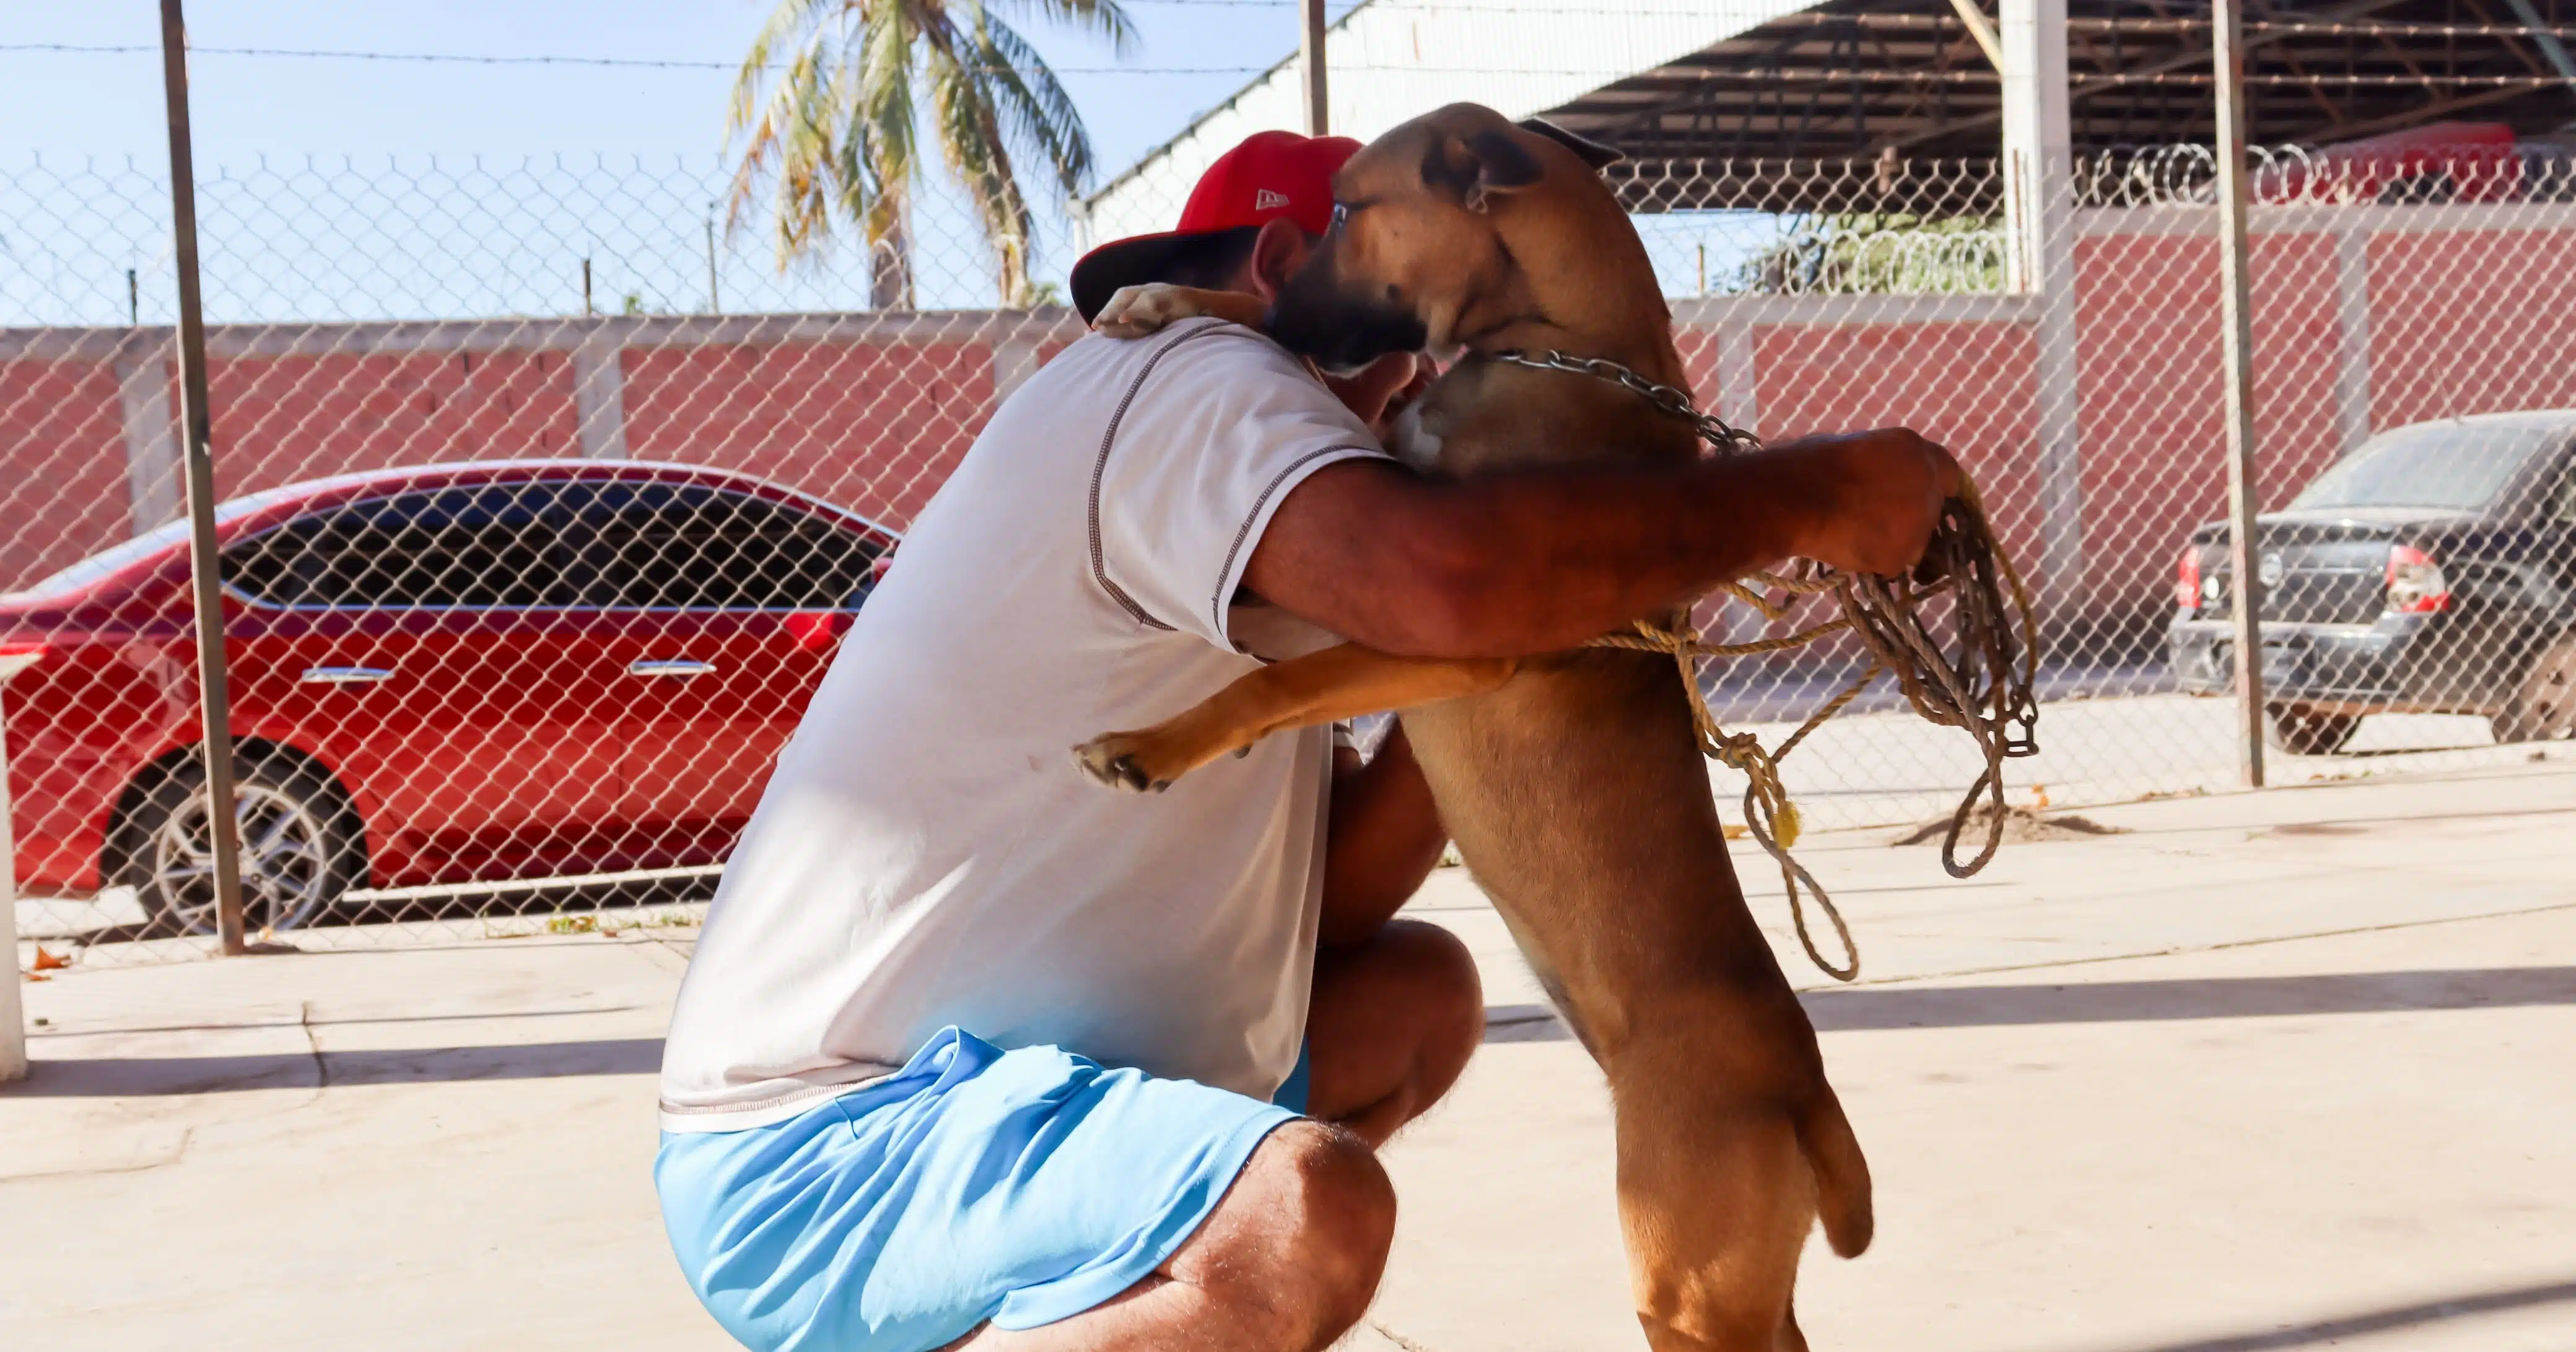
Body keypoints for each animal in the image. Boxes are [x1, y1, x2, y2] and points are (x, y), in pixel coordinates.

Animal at [1076, 105, 1885, 1349]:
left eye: (1348, 210)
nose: (1298, 308)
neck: (1558, 339)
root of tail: (1804, 1088)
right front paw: (1172, 299)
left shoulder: (1446, 628)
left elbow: (1272, 683)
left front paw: (1155, 748)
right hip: (1741, 1281)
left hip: (1686, 1281)